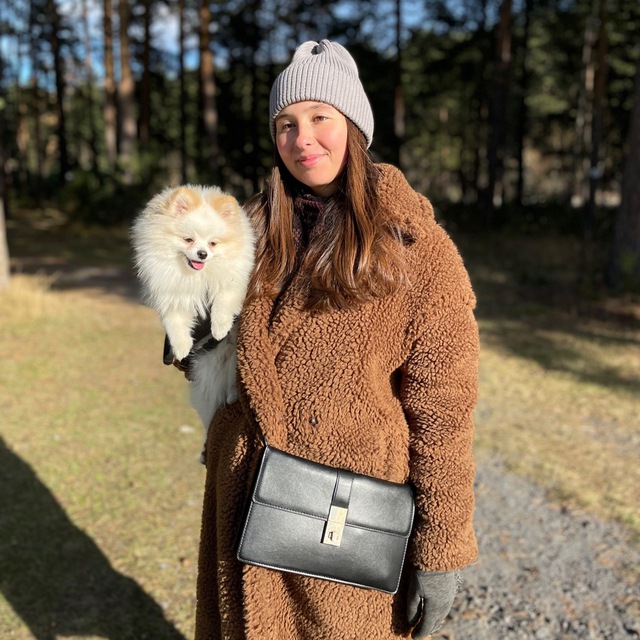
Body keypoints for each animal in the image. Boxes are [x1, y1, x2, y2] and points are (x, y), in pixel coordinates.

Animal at [131, 185, 255, 456]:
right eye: (188, 239)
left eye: (213, 243)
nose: (202, 253)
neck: (196, 275)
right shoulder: (172, 295)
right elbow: (175, 323)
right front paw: (181, 347)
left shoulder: (234, 281)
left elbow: (223, 302)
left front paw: (219, 328)